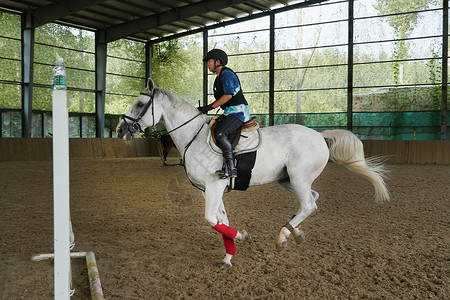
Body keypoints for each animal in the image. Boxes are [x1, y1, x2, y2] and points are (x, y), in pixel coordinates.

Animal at [118, 78, 388, 268]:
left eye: (140, 104)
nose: (121, 129)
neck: (193, 136)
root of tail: (320, 136)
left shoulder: (214, 185)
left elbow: (211, 220)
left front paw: (241, 236)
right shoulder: (210, 190)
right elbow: (221, 221)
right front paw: (229, 256)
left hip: (298, 178)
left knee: (310, 204)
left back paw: (282, 236)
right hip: (288, 180)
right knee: (312, 199)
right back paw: (295, 232)